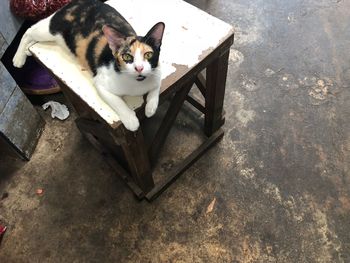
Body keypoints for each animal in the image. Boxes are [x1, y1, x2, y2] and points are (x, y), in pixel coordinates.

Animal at [13, 0, 165, 132]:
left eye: (148, 55)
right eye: (127, 57)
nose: (139, 68)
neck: (137, 83)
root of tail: (76, 2)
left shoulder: (157, 71)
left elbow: (155, 87)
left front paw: (150, 108)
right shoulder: (100, 82)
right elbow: (117, 102)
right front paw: (130, 120)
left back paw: (27, 51)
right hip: (51, 30)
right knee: (29, 30)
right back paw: (18, 58)